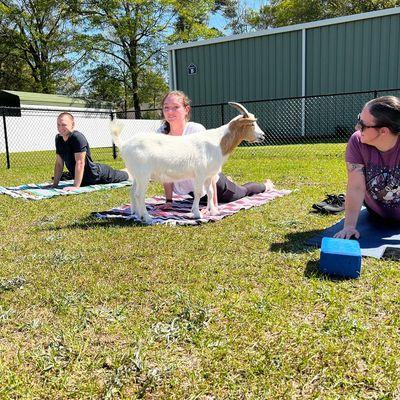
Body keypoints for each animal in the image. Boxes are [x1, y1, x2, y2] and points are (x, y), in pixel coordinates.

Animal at [111, 101, 264, 223]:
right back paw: (147, 217)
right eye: (251, 123)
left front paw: (213, 211)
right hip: (143, 174)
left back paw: (136, 214)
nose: (262, 136)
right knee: (139, 194)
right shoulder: (200, 173)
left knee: (132, 192)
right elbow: (199, 192)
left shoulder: (209, 175)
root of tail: (124, 145)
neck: (218, 142)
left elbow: (210, 192)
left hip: (136, 174)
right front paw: (197, 214)